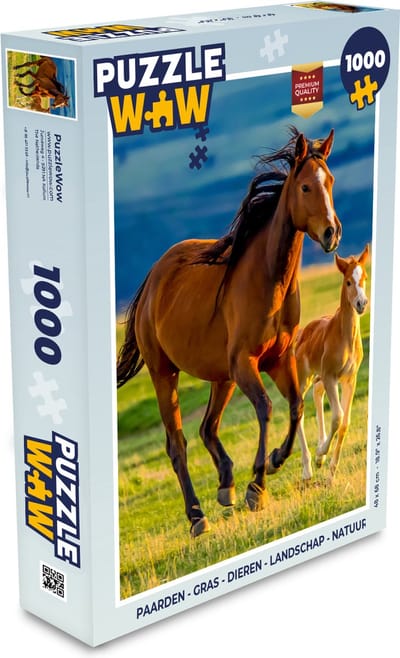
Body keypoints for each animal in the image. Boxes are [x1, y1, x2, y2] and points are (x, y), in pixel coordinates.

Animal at [117, 127, 342, 537]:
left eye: (329, 181)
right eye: (305, 187)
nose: (332, 233)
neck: (268, 279)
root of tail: (152, 281)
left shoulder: (277, 360)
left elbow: (296, 406)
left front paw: (274, 460)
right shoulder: (246, 364)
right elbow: (267, 408)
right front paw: (258, 486)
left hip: (220, 377)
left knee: (208, 428)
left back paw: (226, 486)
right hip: (165, 374)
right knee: (177, 443)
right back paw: (197, 515)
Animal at [295, 244, 369, 482]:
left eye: (364, 277)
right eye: (348, 282)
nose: (361, 304)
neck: (345, 336)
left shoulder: (349, 379)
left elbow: (345, 422)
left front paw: (331, 472)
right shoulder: (330, 377)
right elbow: (337, 417)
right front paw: (321, 453)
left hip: (318, 377)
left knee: (317, 394)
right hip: (304, 377)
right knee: (298, 410)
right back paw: (308, 469)